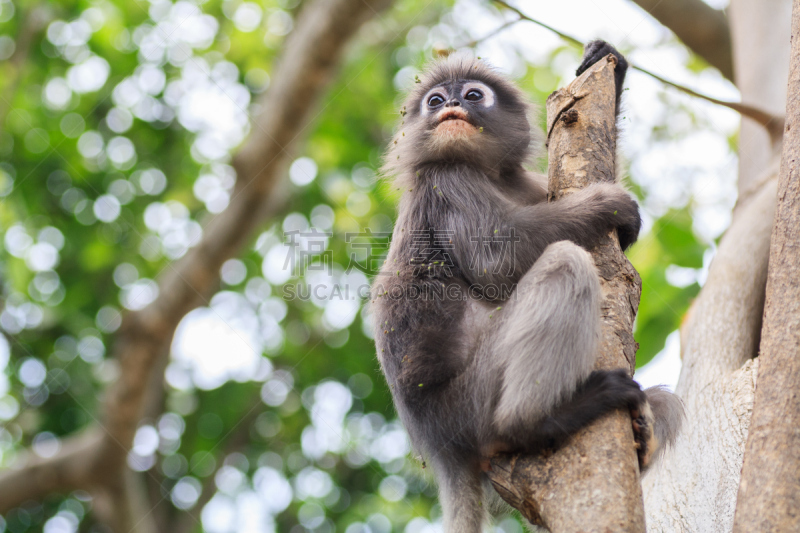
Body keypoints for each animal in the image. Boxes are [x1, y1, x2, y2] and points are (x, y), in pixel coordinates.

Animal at [372, 42, 684, 532]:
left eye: (473, 95)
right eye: (435, 101)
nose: (452, 103)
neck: (489, 172)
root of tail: (441, 447)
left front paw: (608, 66)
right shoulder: (446, 180)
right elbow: (498, 262)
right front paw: (609, 202)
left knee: (666, 401)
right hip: (472, 401)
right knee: (565, 263)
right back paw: (537, 422)